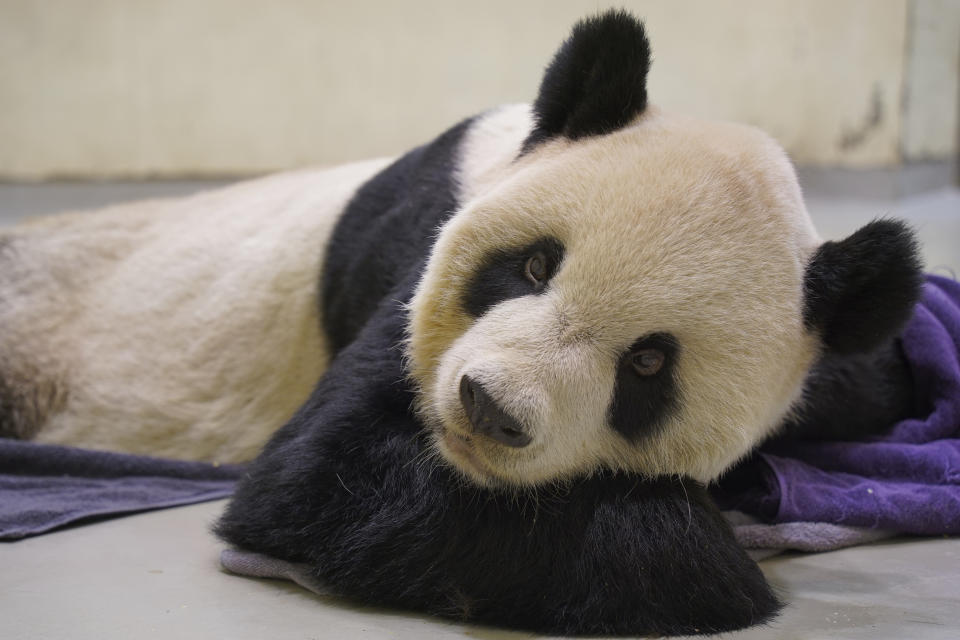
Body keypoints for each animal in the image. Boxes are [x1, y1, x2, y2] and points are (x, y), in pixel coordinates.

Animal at [0, 10, 920, 636]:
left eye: (649, 365)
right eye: (536, 266)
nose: (491, 408)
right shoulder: (418, 259)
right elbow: (313, 477)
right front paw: (711, 566)